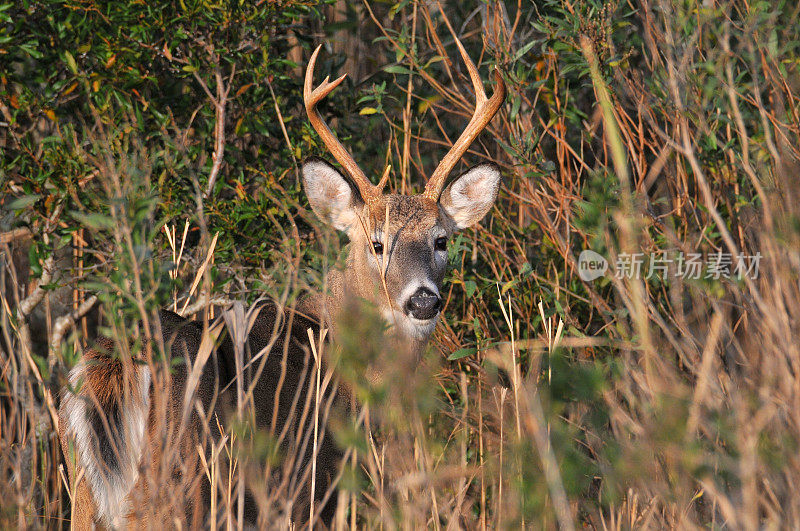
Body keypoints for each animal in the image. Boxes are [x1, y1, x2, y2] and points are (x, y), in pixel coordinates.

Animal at [59, 40, 504, 528]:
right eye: (377, 243)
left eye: (441, 240)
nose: (423, 301)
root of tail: (113, 361)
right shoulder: (318, 482)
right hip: (179, 486)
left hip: (85, 496)